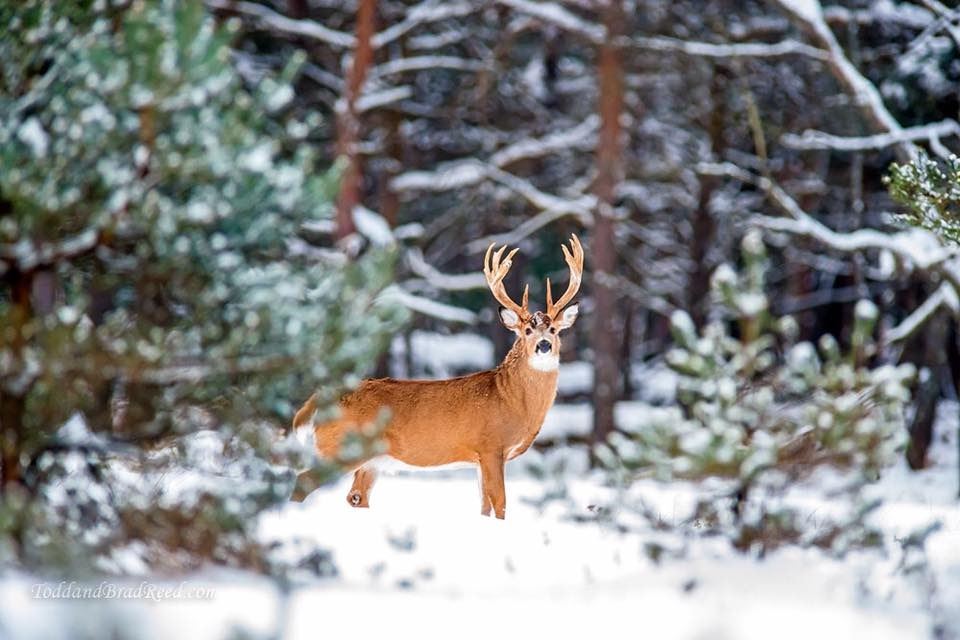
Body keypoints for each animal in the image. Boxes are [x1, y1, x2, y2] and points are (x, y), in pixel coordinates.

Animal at [290, 235, 583, 519]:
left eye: (555, 330)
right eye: (526, 331)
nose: (543, 345)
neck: (510, 398)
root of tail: (318, 401)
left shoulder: (478, 459)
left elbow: (484, 508)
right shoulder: (491, 446)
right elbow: (500, 505)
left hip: (371, 460)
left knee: (356, 497)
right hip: (341, 448)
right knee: (303, 483)